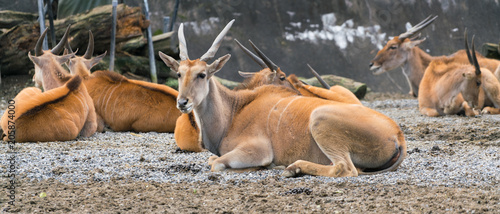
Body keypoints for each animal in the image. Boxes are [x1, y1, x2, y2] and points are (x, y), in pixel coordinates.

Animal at [160, 19, 406, 177]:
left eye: (202, 74)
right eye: (179, 73)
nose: (182, 102)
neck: (234, 111)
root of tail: (398, 134)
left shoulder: (257, 150)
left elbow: (216, 163)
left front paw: (265, 167)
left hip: (320, 120)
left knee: (344, 168)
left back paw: (293, 168)